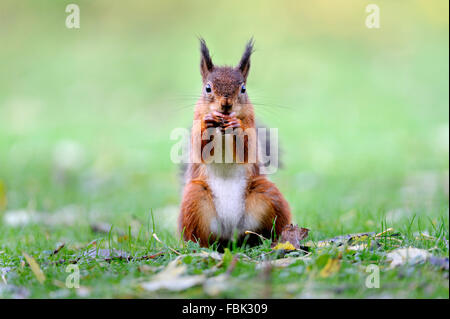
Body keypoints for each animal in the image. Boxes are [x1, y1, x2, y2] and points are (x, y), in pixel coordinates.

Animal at [178, 38, 290, 249]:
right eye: (208, 88)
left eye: (243, 89)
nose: (226, 104)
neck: (223, 126)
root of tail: (230, 232)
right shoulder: (197, 125)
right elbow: (199, 147)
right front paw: (208, 122)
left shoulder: (251, 128)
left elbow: (247, 149)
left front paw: (237, 126)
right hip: (195, 199)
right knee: (202, 236)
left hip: (267, 195)